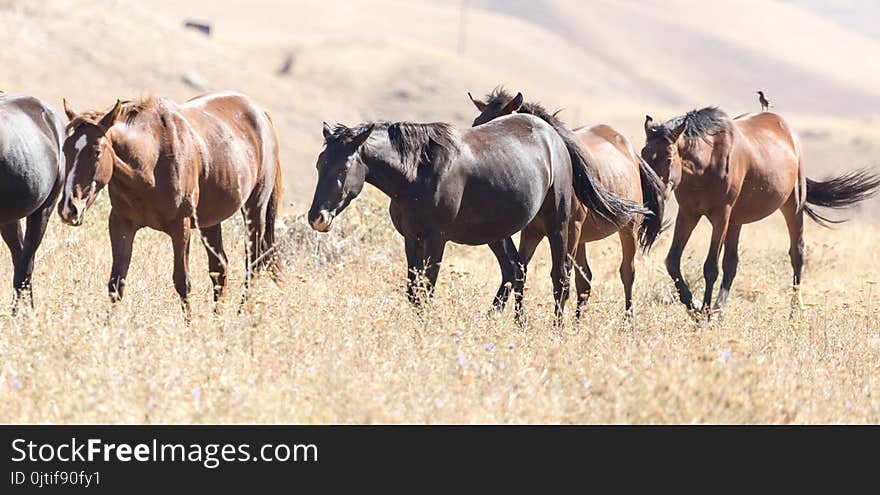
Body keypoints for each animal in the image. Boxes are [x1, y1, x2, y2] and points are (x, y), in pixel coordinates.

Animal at [57, 91, 282, 320]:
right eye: (65, 150)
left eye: (97, 152)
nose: (69, 208)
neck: (150, 163)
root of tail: (261, 114)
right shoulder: (121, 224)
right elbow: (116, 282)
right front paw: (108, 324)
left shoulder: (180, 226)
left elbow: (182, 281)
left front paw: (189, 325)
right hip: (210, 222)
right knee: (220, 269)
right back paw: (217, 319)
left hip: (255, 210)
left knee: (253, 263)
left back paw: (241, 314)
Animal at [310, 116, 648, 326]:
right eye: (319, 165)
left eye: (342, 169)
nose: (317, 219)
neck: (418, 173)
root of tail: (556, 138)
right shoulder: (411, 238)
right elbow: (413, 291)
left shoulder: (436, 238)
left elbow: (427, 289)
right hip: (513, 232)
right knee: (518, 271)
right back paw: (517, 325)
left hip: (560, 227)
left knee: (561, 280)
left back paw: (557, 328)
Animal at [468, 88, 668, 318]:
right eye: (476, 123)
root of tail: (631, 152)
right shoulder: (532, 231)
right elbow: (520, 269)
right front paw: (503, 314)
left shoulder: (569, 230)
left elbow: (561, 275)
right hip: (582, 239)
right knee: (585, 282)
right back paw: (577, 322)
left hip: (626, 230)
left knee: (627, 272)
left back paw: (628, 319)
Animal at [640, 108, 880, 318]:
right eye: (643, 154)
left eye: (668, 158)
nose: (652, 193)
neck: (707, 161)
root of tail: (786, 129)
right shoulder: (689, 213)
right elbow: (673, 261)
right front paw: (695, 307)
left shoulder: (721, 216)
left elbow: (710, 267)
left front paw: (703, 314)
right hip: (736, 220)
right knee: (731, 263)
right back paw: (719, 311)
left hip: (792, 206)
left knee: (797, 254)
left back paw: (793, 313)